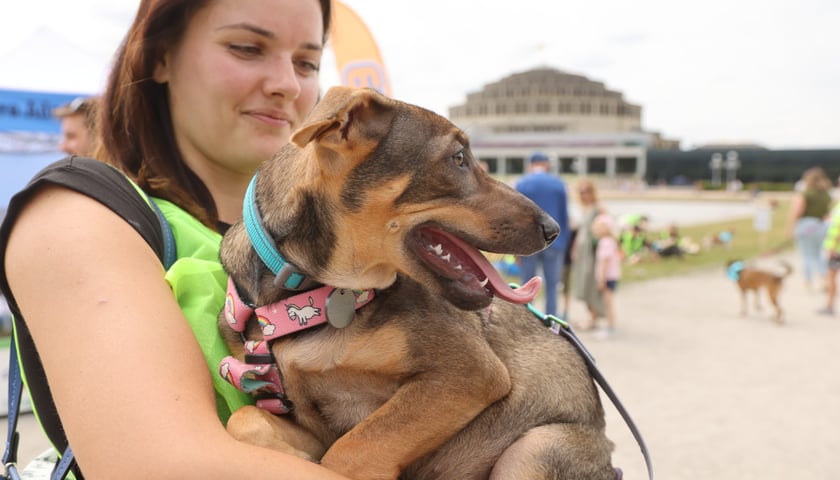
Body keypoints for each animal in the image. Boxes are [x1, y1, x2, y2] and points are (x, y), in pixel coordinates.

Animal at [218, 87, 616, 480]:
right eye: (458, 158)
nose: (554, 229)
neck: (322, 293)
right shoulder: (308, 418)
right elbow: (245, 418)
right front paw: (294, 456)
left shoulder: (469, 372)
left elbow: (350, 452)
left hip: (536, 448)